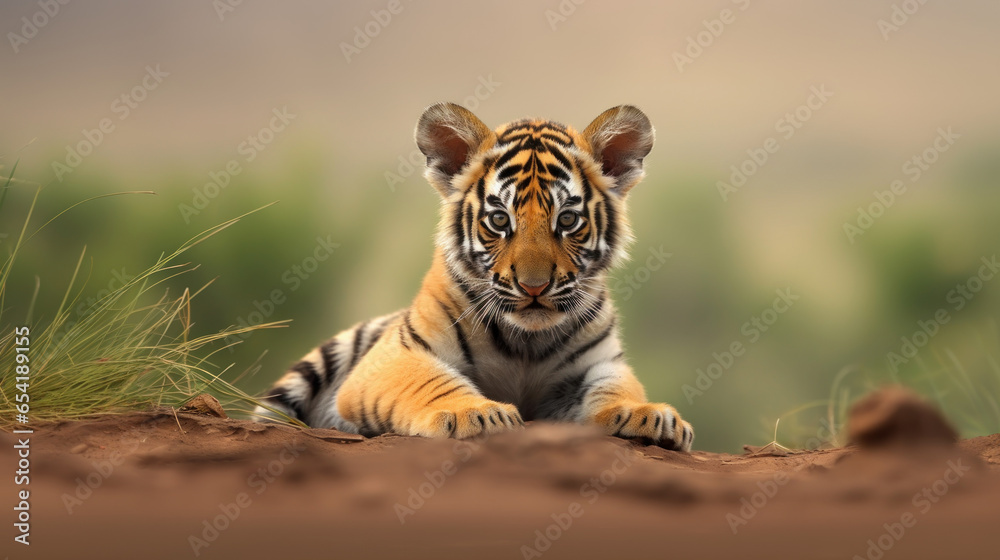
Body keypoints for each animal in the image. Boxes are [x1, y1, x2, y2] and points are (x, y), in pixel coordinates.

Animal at [253, 103, 694, 451]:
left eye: (567, 220)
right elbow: (432, 382)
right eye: (499, 220)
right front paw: (477, 414)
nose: (534, 287)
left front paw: (647, 415)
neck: (527, 342)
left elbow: (614, 387)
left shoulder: (600, 363)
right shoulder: (396, 355)